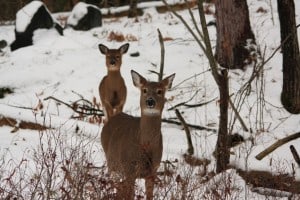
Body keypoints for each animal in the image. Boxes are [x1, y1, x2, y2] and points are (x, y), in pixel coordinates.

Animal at [101, 69, 176, 199]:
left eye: (159, 91)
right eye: (144, 90)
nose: (150, 101)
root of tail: (112, 118)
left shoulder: (153, 170)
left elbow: (149, 196)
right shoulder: (129, 169)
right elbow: (130, 195)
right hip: (112, 163)